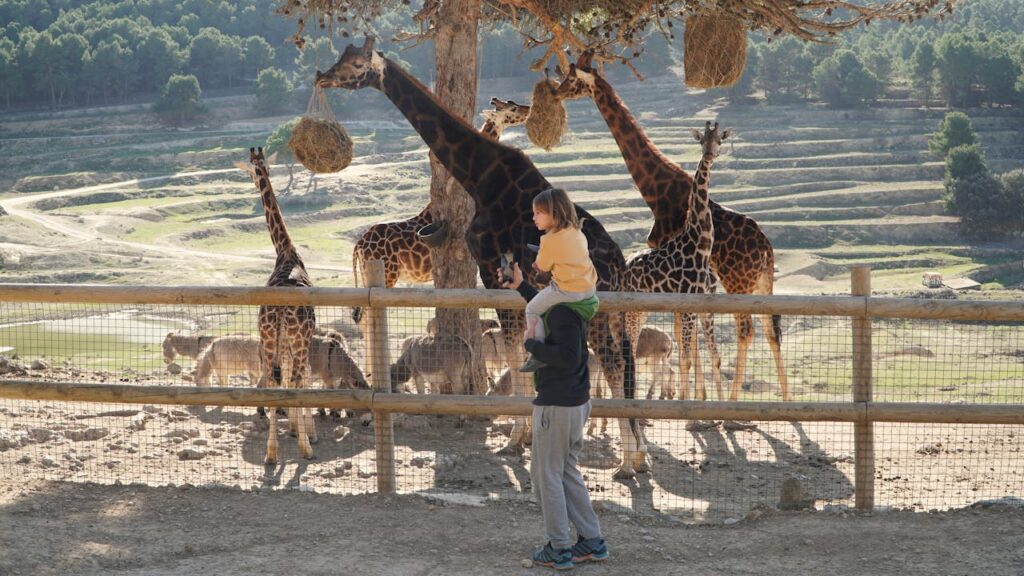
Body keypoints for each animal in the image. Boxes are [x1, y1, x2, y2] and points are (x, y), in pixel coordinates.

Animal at [235, 146, 315, 461]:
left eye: (258, 168)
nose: (252, 180)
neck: (286, 251)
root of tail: (280, 308)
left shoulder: (282, 342)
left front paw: (293, 428)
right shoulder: (301, 339)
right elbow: (300, 379)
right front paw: (302, 432)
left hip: (269, 336)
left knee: (272, 379)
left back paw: (271, 453)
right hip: (296, 337)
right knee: (295, 379)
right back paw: (305, 448)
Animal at [317, 38, 647, 477]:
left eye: (355, 64)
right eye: (340, 56)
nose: (323, 76)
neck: (477, 174)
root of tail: (620, 266)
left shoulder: (492, 269)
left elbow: (514, 351)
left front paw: (515, 439)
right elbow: (517, 351)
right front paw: (523, 436)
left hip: (595, 308)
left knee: (612, 363)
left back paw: (627, 461)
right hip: (611, 311)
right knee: (622, 363)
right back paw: (637, 455)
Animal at [622, 120, 729, 399]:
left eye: (719, 140)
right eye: (702, 140)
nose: (709, 154)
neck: (699, 244)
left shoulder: (701, 304)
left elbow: (701, 357)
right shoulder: (688, 303)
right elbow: (686, 359)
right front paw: (686, 402)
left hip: (641, 310)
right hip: (633, 309)